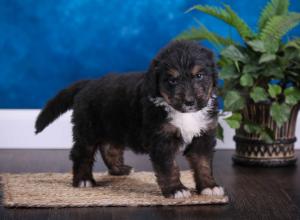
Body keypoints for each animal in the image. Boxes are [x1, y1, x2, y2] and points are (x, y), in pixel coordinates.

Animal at [35, 40, 224, 199]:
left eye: (199, 76)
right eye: (172, 80)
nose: (189, 102)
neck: (184, 114)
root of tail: (88, 83)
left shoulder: (204, 134)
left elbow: (203, 163)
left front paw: (209, 186)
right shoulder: (161, 140)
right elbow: (169, 167)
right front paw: (176, 190)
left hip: (113, 125)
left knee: (109, 148)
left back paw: (119, 170)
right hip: (87, 129)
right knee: (82, 154)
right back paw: (83, 180)